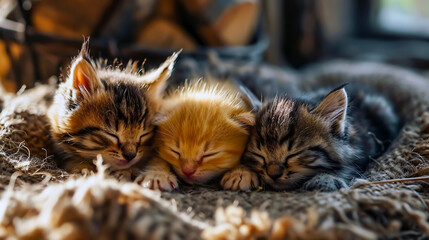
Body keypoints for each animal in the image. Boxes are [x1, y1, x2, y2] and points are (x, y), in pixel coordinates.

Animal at [222, 85, 400, 192]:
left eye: (293, 154)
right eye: (259, 155)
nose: (273, 174)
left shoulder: (362, 149)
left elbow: (347, 168)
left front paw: (327, 179)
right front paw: (241, 173)